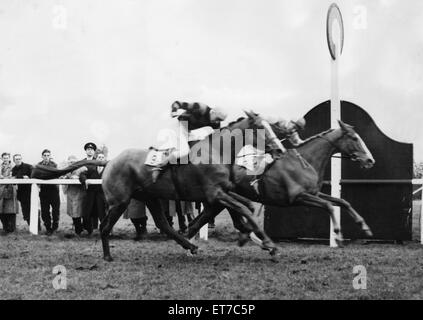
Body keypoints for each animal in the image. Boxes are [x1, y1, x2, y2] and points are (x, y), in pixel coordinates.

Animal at [187, 120, 376, 245]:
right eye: (354, 138)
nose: (370, 160)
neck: (306, 161)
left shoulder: (313, 193)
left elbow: (342, 201)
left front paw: (364, 226)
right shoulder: (299, 197)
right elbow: (329, 206)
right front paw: (337, 235)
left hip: (217, 203)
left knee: (197, 223)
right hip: (220, 200)